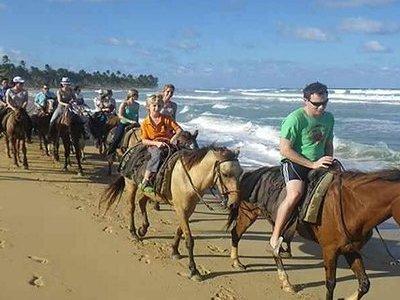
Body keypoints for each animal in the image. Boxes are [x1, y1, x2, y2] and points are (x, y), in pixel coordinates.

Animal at [101, 145, 242, 282]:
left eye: (240, 174)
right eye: (225, 174)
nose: (234, 203)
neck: (190, 177)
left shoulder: (187, 210)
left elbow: (180, 231)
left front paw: (174, 251)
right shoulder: (181, 210)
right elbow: (189, 240)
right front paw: (194, 270)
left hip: (151, 193)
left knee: (141, 202)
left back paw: (143, 229)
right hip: (131, 184)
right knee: (131, 207)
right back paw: (134, 232)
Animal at [227, 168, 400, 300]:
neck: (353, 205)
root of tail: (251, 173)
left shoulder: (351, 250)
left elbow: (364, 284)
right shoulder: (330, 251)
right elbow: (330, 283)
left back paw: (285, 282)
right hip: (248, 213)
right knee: (237, 234)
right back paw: (237, 262)